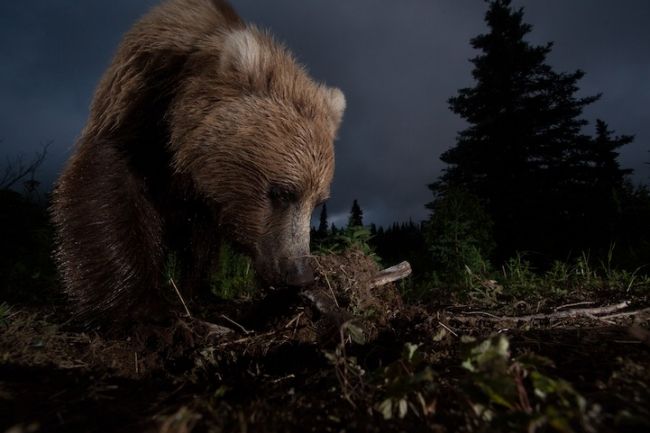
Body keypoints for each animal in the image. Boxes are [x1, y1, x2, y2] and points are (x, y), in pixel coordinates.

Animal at [50, 0, 344, 322]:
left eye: (317, 203)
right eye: (281, 192)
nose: (300, 274)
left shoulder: (208, 198)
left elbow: (202, 243)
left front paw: (200, 296)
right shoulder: (136, 111)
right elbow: (107, 194)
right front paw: (141, 305)